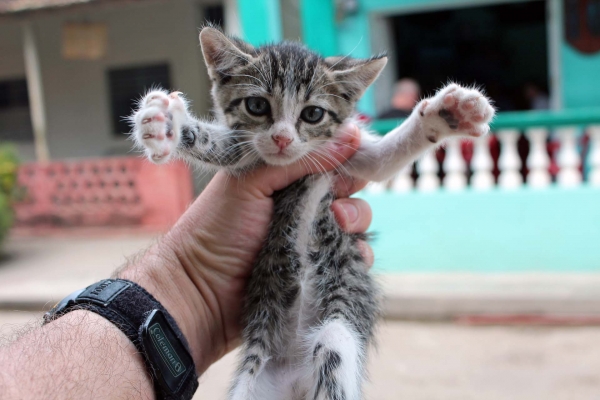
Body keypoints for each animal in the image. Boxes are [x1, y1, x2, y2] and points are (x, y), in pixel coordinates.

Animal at [130, 28, 492, 400]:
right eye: (257, 106)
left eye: (313, 114)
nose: (281, 139)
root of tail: (293, 378)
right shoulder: (244, 156)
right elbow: (218, 146)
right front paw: (165, 125)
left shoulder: (349, 155)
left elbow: (386, 158)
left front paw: (449, 113)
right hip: (249, 383)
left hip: (338, 324)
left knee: (331, 342)